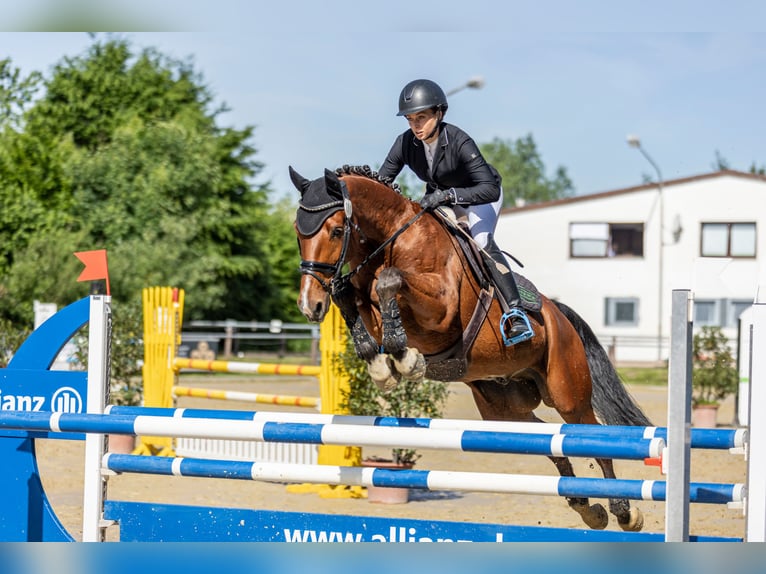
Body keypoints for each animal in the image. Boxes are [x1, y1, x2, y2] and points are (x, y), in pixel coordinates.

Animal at [292, 162, 656, 532]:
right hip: (504, 408)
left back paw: (623, 510)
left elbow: (389, 281)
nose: (310, 305)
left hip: (567, 393)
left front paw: (403, 357)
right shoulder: (364, 300)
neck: (394, 239)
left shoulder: (440, 312)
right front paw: (379, 362)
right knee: (545, 439)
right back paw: (585, 505)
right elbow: (348, 295)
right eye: (297, 232)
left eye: (336, 230)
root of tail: (559, 315)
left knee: (591, 436)